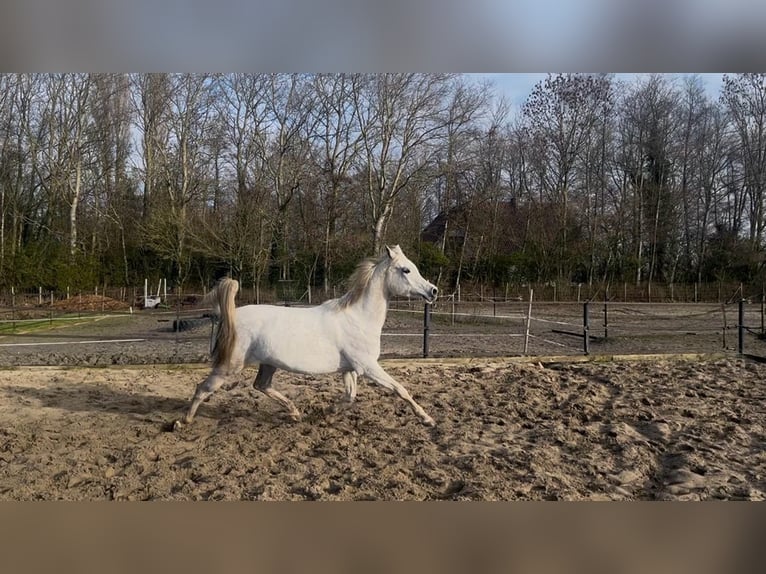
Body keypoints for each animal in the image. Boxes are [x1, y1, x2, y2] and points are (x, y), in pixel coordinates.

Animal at [173, 245, 438, 430]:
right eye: (406, 270)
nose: (433, 291)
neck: (359, 318)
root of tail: (232, 316)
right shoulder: (368, 367)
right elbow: (400, 390)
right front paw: (427, 419)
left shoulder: (349, 369)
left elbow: (350, 397)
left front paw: (327, 414)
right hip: (229, 367)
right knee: (203, 388)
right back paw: (181, 422)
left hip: (268, 364)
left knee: (261, 385)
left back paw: (295, 413)